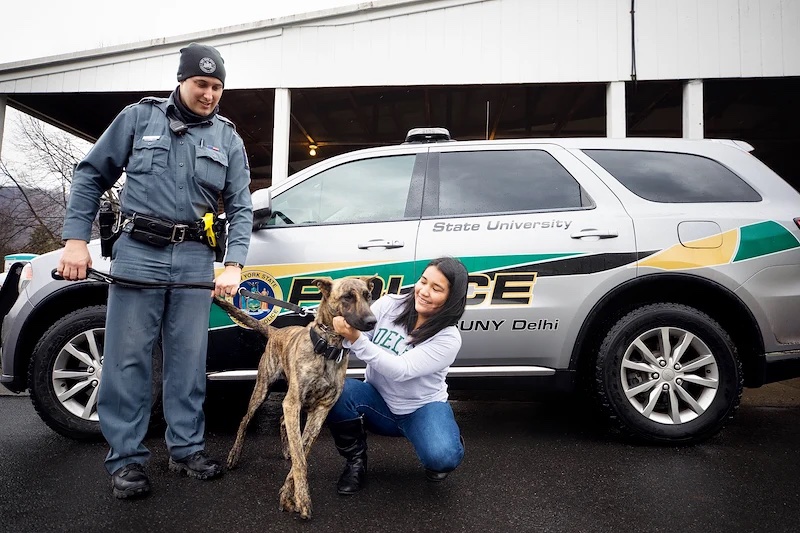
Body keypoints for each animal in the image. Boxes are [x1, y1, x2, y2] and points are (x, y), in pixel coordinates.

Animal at [212, 276, 376, 516]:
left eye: (368, 295)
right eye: (347, 297)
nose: (372, 321)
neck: (328, 348)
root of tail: (276, 332)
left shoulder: (319, 411)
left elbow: (302, 452)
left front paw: (289, 494)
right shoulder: (293, 403)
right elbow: (301, 460)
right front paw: (301, 498)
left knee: (282, 421)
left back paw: (286, 448)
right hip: (263, 389)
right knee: (244, 420)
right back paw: (234, 455)